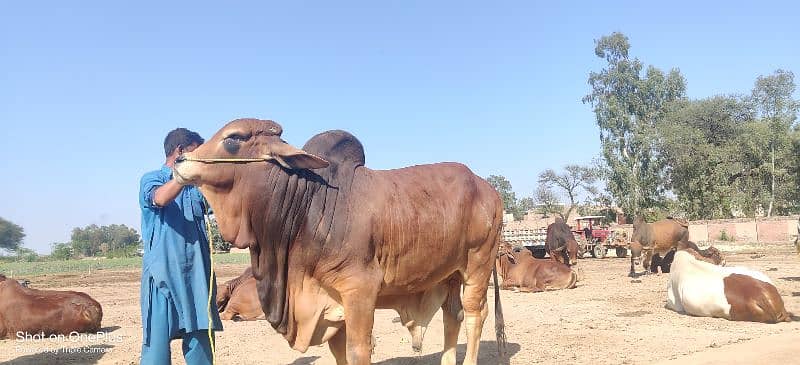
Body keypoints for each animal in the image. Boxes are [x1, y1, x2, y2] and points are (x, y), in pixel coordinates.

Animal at [177, 118, 506, 364]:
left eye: (233, 138)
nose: (180, 160)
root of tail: (488, 188)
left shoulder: (360, 290)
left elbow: (358, 351)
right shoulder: (332, 306)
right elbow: (339, 354)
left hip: (478, 264)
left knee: (475, 315)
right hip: (449, 274)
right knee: (453, 316)